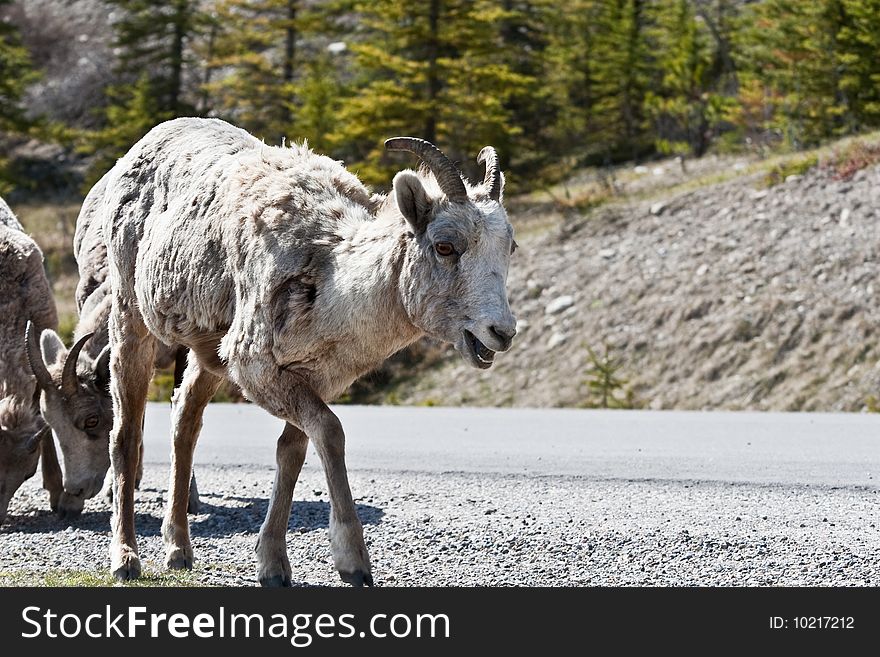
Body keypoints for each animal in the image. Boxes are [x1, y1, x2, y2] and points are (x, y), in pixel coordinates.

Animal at [100, 118, 520, 584]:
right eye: (445, 246)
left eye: (509, 248)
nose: (501, 333)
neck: (329, 277)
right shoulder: (259, 371)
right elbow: (331, 433)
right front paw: (353, 563)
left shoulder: (314, 378)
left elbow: (293, 452)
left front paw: (273, 566)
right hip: (130, 319)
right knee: (125, 434)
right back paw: (125, 559)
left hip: (207, 355)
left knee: (184, 423)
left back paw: (179, 550)